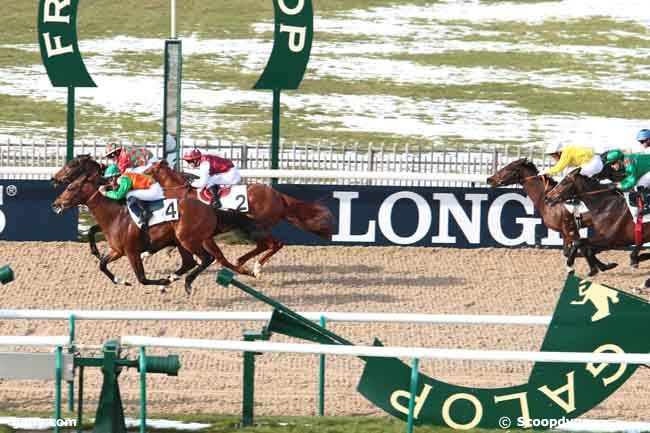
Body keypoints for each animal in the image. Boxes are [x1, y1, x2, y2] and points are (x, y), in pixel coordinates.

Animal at [51, 172, 251, 294]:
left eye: (70, 188)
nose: (55, 204)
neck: (115, 215)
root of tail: (210, 209)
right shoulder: (118, 250)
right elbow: (102, 265)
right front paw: (121, 280)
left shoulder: (132, 252)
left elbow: (142, 279)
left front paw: (160, 281)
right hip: (181, 242)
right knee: (190, 262)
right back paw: (174, 278)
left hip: (188, 240)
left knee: (206, 259)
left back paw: (186, 283)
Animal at [143, 159, 334, 276]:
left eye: (149, 170)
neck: (181, 192)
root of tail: (278, 195)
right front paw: (151, 254)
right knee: (264, 245)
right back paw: (243, 261)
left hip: (258, 227)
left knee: (274, 244)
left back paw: (256, 268)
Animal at [484, 157, 616, 276]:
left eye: (508, 168)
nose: (489, 179)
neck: (546, 200)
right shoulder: (565, 231)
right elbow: (568, 251)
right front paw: (601, 266)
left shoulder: (570, 230)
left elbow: (581, 248)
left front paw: (599, 267)